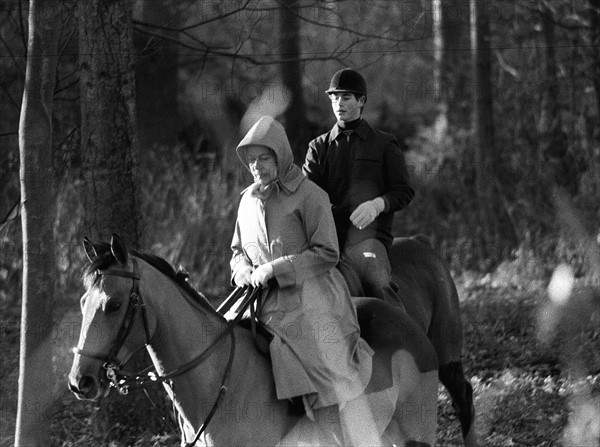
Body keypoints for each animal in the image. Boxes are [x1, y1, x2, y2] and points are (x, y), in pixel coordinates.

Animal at [69, 236, 440, 446]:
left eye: (113, 304)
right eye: (82, 303)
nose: (79, 381)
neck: (217, 383)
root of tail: (408, 324)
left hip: (416, 434)